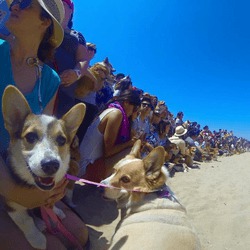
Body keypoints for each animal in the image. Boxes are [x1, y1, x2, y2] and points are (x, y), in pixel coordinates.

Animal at [0, 85, 85, 249]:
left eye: (62, 140)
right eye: (30, 136)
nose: (51, 165)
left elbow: (48, 207)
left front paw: (55, 211)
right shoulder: (11, 203)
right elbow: (25, 221)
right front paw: (37, 238)